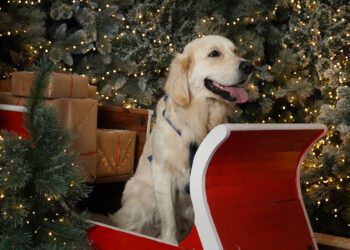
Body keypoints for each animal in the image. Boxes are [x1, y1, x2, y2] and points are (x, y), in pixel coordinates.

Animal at [108, 34, 253, 243]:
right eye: (214, 53)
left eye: (235, 51)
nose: (249, 66)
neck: (197, 118)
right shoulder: (163, 171)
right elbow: (168, 218)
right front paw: (169, 242)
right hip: (145, 195)